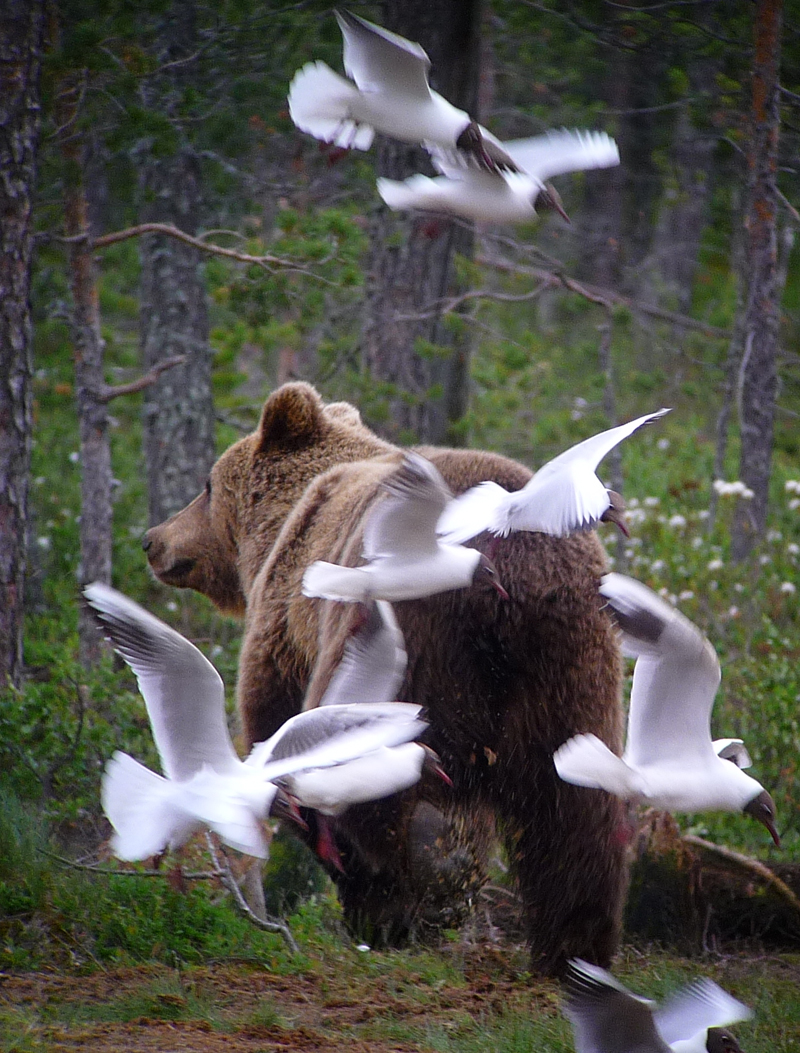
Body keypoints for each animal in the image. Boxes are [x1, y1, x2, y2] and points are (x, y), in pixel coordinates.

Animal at [145, 383, 631, 972]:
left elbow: (273, 716)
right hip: (572, 656)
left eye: (207, 485)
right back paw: (573, 946)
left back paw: (399, 892)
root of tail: (505, 571)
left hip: (411, 633)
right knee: (574, 809)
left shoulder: (287, 621)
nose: (152, 540)